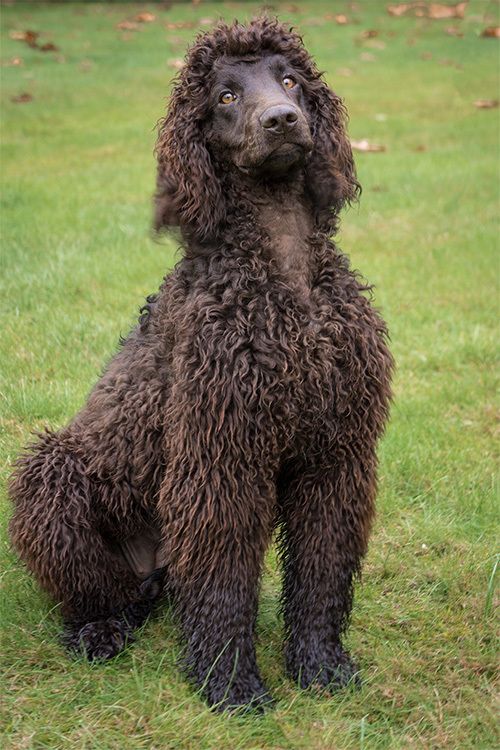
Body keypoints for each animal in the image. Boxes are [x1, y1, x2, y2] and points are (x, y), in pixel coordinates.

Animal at [5, 17, 392, 712]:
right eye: (226, 96)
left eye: (289, 81)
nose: (283, 120)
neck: (284, 273)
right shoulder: (222, 459)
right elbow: (224, 581)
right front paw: (231, 685)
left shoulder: (335, 452)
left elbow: (322, 570)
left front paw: (319, 665)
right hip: (53, 477)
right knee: (94, 593)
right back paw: (98, 631)